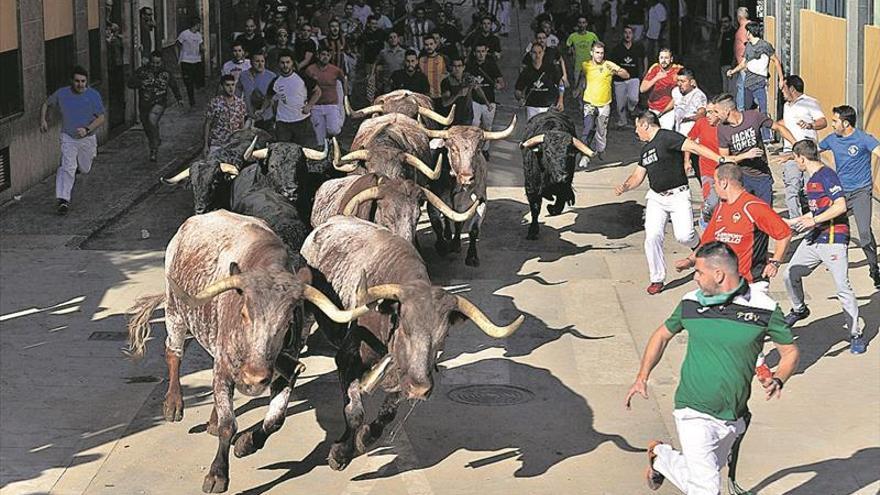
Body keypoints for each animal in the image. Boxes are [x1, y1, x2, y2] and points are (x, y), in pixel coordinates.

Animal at [127, 211, 382, 494]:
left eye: (287, 321)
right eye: (244, 313)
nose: (254, 377)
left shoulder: (285, 373)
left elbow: (275, 419)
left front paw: (246, 443)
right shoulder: (225, 367)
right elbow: (229, 424)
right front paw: (218, 474)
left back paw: (213, 419)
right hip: (175, 310)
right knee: (174, 353)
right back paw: (173, 404)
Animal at [302, 217, 524, 472]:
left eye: (443, 337)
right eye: (405, 328)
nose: (420, 388)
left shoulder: (403, 375)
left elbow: (388, 412)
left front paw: (366, 436)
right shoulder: (347, 359)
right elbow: (353, 409)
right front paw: (340, 453)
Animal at [524, 112, 592, 240]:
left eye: (570, 153)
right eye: (547, 151)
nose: (562, 178)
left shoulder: (565, 186)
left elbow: (561, 199)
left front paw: (552, 208)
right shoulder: (532, 188)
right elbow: (535, 207)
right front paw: (533, 231)